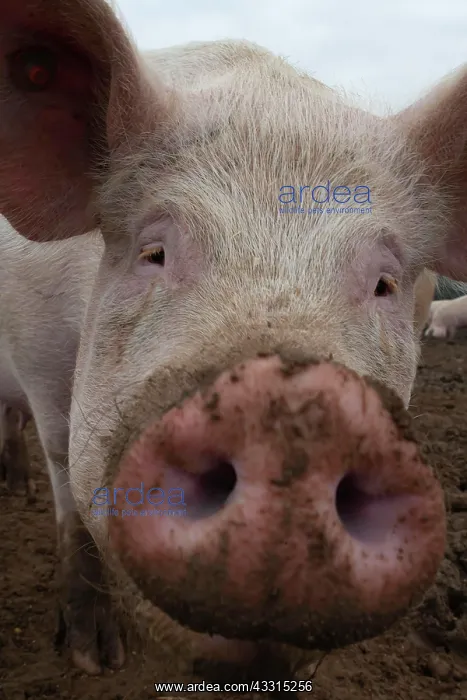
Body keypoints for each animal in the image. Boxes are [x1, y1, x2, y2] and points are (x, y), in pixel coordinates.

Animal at [0, 0, 464, 682]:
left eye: (384, 284)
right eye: (154, 252)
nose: (291, 409)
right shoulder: (38, 357)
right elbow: (68, 495)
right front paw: (96, 660)